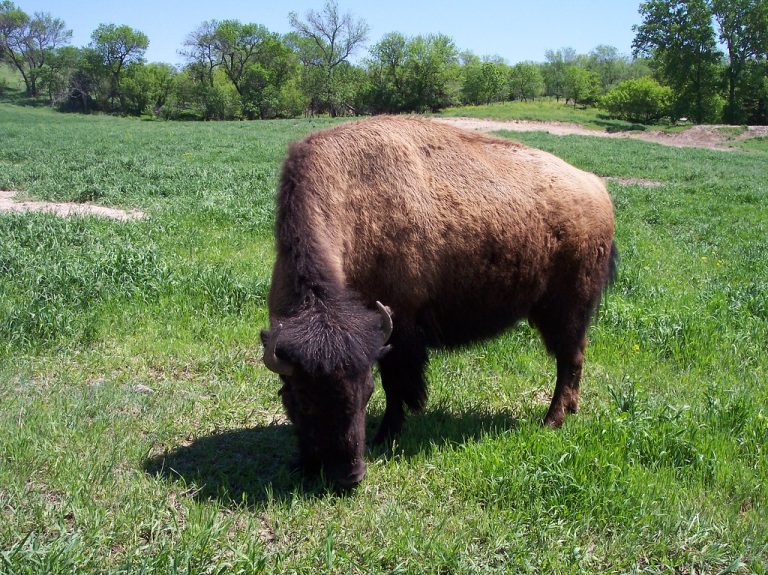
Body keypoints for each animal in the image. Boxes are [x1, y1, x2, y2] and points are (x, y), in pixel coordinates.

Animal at [261, 116, 617, 487]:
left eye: (366, 392)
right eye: (300, 397)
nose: (350, 475)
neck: (348, 197)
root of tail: (596, 187)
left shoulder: (399, 333)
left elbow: (397, 386)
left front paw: (386, 435)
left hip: (567, 309)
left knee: (569, 359)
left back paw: (551, 420)